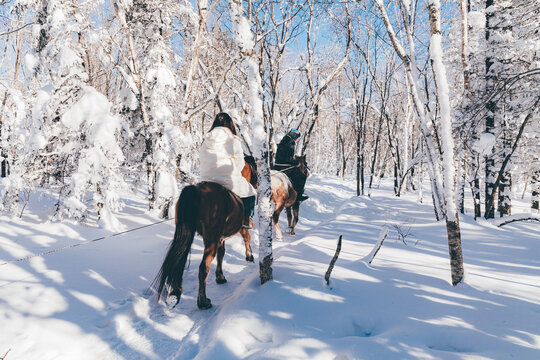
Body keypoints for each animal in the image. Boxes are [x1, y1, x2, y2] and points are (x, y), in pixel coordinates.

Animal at [151, 162, 254, 308]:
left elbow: (221, 254)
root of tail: (197, 190)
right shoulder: (239, 228)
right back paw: (203, 301)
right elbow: (246, 238)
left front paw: (220, 276)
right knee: (203, 268)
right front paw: (249, 256)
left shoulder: (220, 238)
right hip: (211, 239)